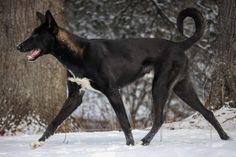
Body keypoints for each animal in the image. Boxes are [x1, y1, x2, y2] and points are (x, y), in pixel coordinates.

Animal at [16, 8, 229, 148]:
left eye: (36, 35)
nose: (18, 46)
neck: (78, 54)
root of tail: (179, 45)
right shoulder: (75, 97)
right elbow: (54, 122)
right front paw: (38, 142)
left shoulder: (113, 92)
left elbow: (125, 123)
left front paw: (130, 146)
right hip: (182, 88)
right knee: (208, 112)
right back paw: (225, 138)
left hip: (160, 86)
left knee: (160, 118)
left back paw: (145, 141)